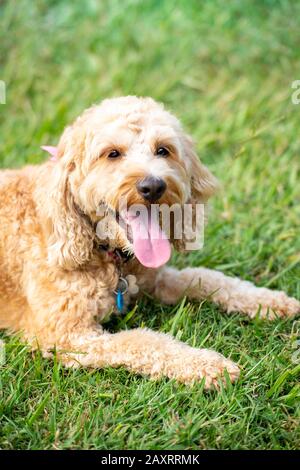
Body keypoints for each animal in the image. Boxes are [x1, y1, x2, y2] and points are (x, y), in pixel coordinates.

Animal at [0, 96, 298, 390]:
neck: (106, 254)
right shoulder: (66, 336)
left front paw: (267, 301)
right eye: (112, 153)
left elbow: (205, 277)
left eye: (163, 150)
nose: (153, 186)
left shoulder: (153, 280)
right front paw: (206, 365)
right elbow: (141, 339)